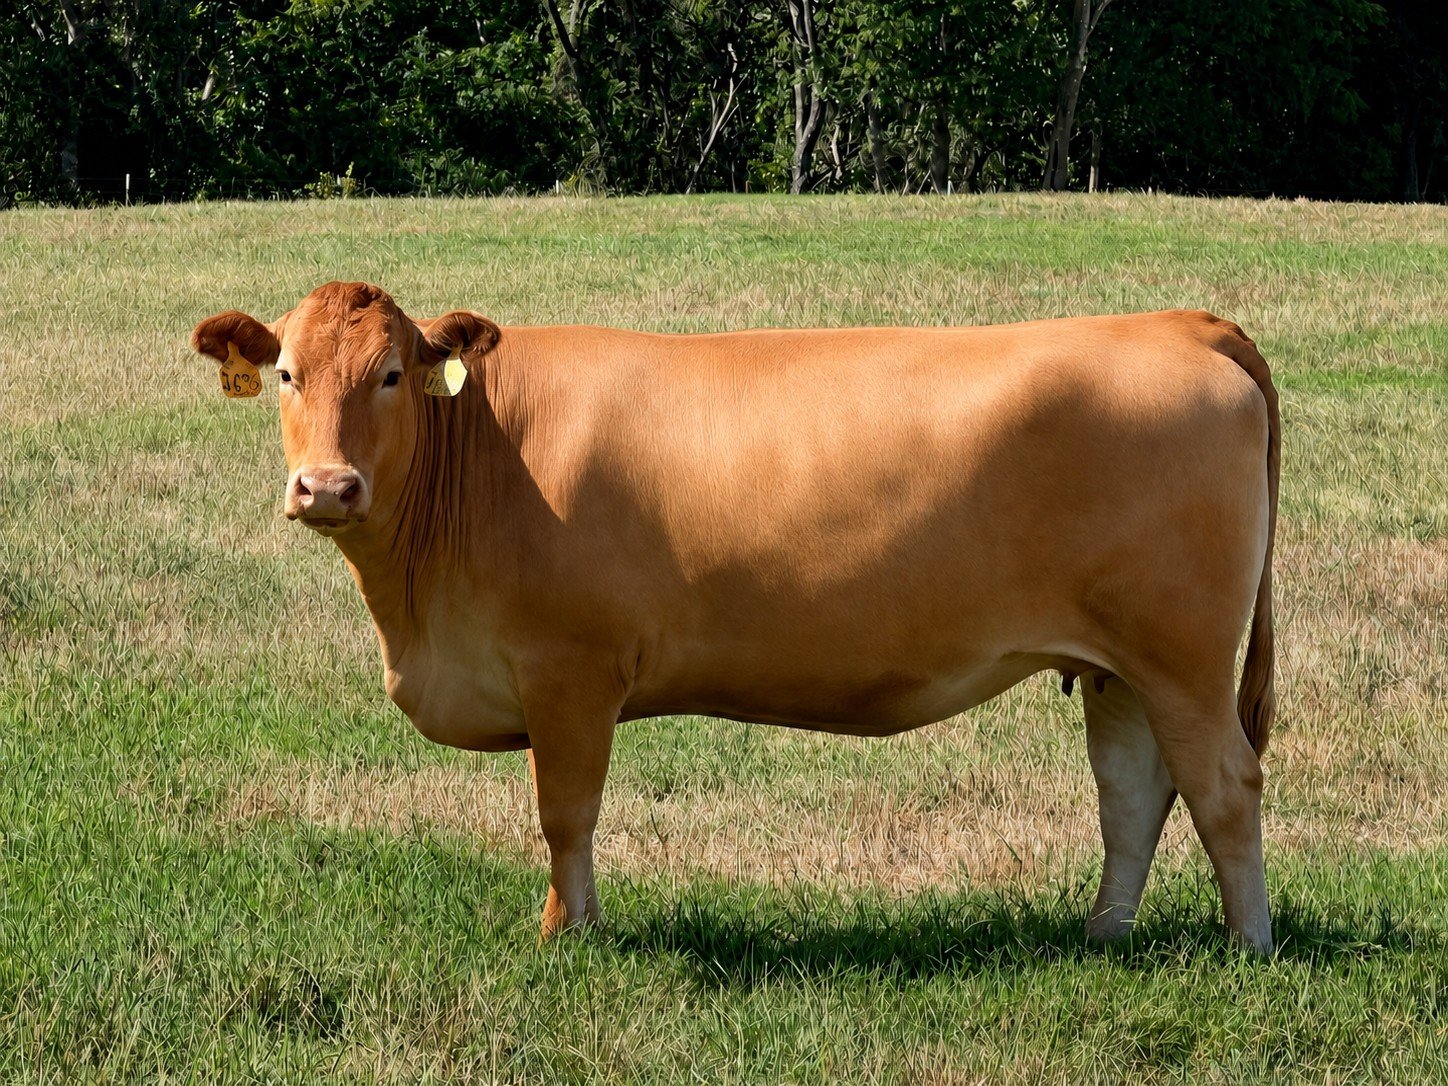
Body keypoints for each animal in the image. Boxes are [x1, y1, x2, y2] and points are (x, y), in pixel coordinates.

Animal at [191, 281, 1280, 952]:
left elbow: (565, 812)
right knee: (1132, 789)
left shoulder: (569, 669)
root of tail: (1177, 323)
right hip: (1119, 662)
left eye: (389, 373)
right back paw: (1102, 934)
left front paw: (566, 934)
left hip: (1182, 653)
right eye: (286, 373)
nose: (326, 486)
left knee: (1222, 785)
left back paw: (1248, 946)